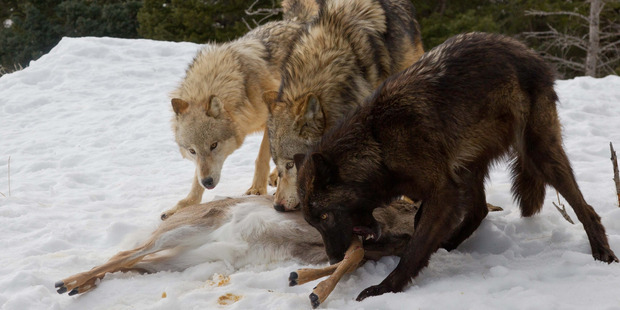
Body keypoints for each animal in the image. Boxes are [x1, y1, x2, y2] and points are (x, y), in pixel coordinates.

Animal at [55, 196, 418, 296]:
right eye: (409, 206)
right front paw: (311, 289)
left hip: (177, 259)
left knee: (128, 262)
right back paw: (67, 283)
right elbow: (354, 254)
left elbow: (351, 258)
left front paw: (302, 280)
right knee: (124, 253)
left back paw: (80, 286)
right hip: (181, 232)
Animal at [162, 0, 318, 219]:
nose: (208, 182)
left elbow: (262, 157)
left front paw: (256, 189)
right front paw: (183, 205)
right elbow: (195, 179)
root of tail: (296, 21)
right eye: (192, 151)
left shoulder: (271, 119)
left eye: (214, 145)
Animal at [296, 32, 620, 302]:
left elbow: (415, 247)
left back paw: (603, 252)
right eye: (313, 221)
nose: (333, 257)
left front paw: (385, 287)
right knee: (479, 210)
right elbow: (415, 233)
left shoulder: (443, 191)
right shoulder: (440, 187)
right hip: (468, 168)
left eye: (324, 216)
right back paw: (447, 244)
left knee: (585, 208)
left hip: (539, 154)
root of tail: (529, 52)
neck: (378, 141)